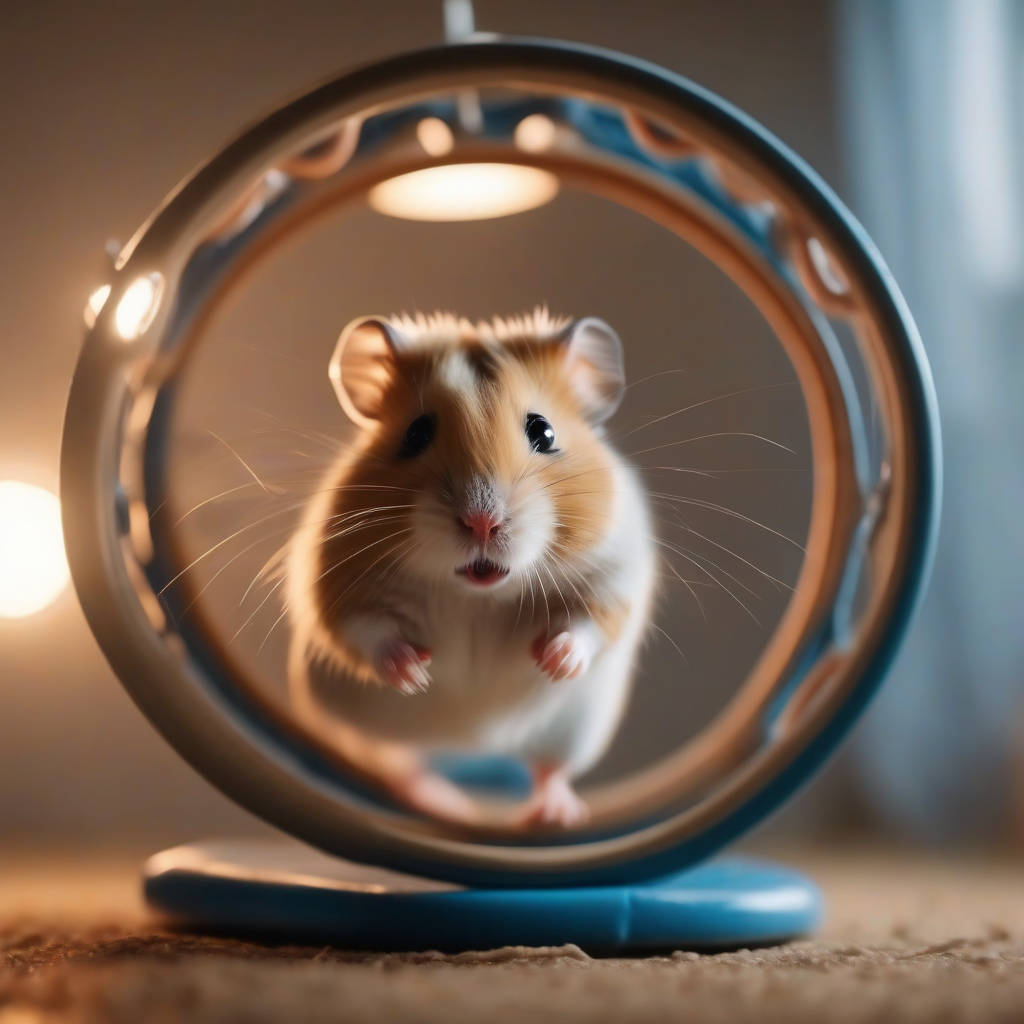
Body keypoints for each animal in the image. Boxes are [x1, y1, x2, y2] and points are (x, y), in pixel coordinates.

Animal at [286, 308, 656, 828]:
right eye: (416, 433)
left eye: (544, 432)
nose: (482, 521)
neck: (479, 594)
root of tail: (473, 746)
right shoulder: (338, 585)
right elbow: (367, 631)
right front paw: (415, 672)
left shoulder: (615, 575)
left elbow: (588, 625)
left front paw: (551, 660)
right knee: (396, 760)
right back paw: (442, 800)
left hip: (574, 732)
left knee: (550, 769)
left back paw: (557, 815)